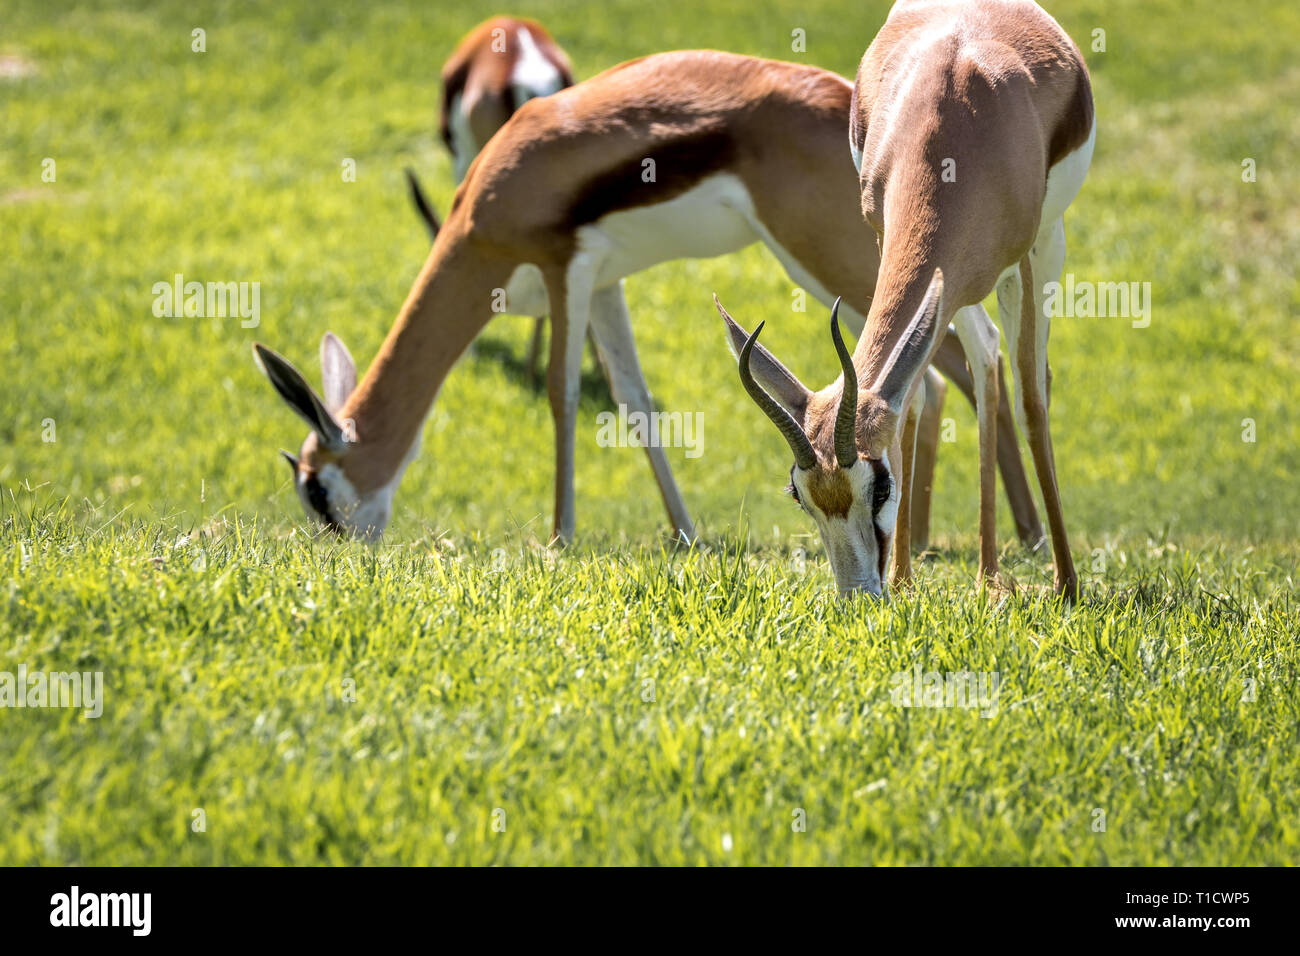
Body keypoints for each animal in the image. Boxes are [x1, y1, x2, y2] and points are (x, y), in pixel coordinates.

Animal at [253, 49, 1044, 572]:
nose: (338, 555)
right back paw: (941, 542)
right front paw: (686, 534)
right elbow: (635, 403)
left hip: (829, 261)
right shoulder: (606, 285)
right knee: (942, 373)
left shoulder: (565, 272)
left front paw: (560, 537)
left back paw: (1011, 542)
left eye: (317, 490)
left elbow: (563, 396)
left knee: (959, 363)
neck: (492, 196)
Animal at [717, 0, 1094, 599]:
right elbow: (910, 392)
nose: (858, 594)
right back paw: (986, 573)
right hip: (959, 282)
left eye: (879, 486)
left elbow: (1033, 397)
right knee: (983, 356)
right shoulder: (887, 237)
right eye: (801, 495)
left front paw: (1067, 586)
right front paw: (904, 579)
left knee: (1022, 377)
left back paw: (1018, 575)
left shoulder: (1027, 258)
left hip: (1040, 248)